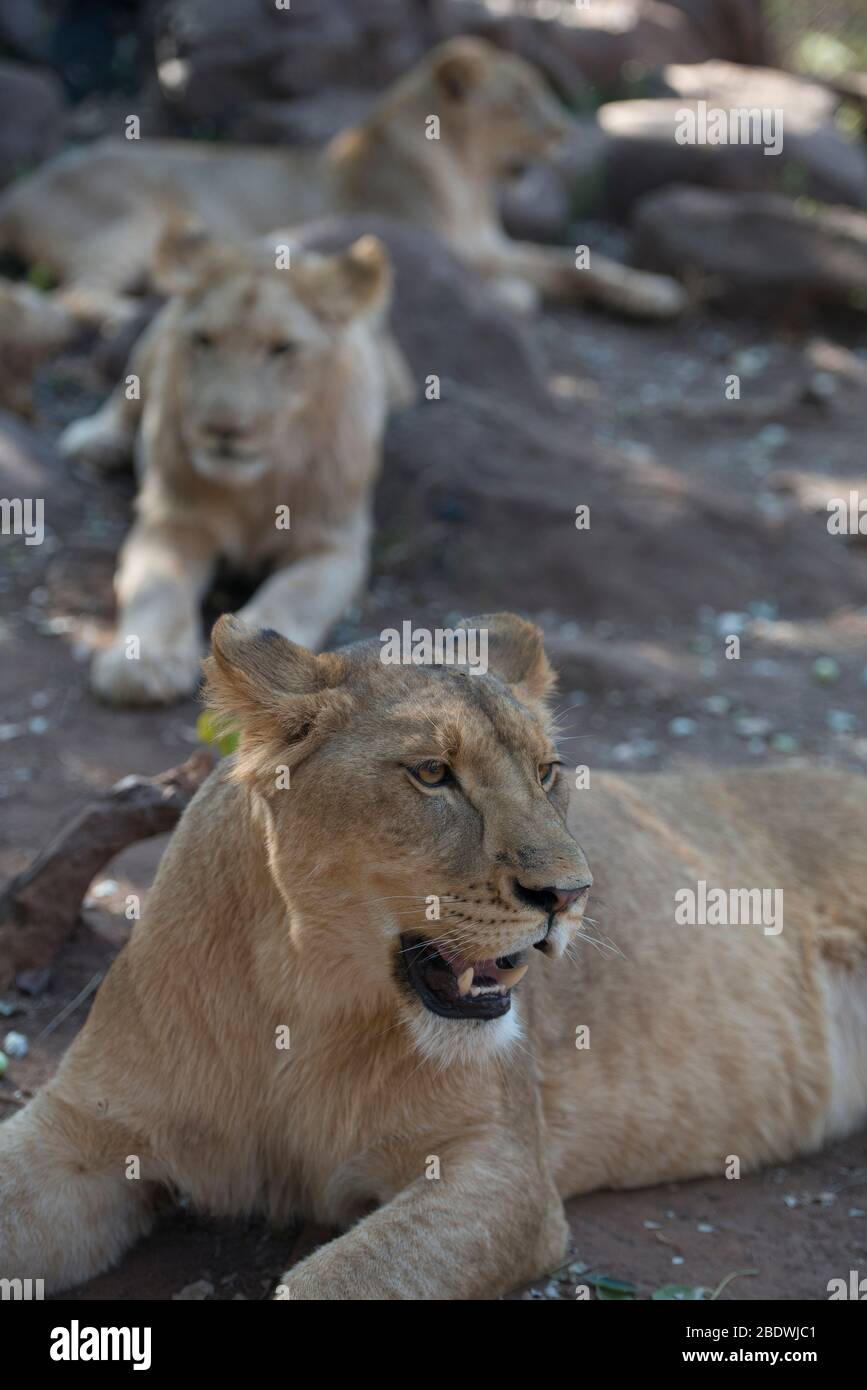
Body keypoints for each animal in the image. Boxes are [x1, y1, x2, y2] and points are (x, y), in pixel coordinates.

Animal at [0, 37, 686, 322]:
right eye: (521, 98)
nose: (565, 132)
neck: (470, 182)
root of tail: (15, 193)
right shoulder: (445, 246)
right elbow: (531, 278)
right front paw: (513, 296)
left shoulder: (491, 244)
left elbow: (579, 264)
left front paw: (653, 293)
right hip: (132, 216)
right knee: (75, 297)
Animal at [1, 614, 867, 1295]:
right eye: (431, 774)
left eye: (547, 771)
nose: (570, 894)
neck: (304, 999)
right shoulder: (84, 1128)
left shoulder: (504, 1172)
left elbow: (339, 1281)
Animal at [64, 230, 408, 706]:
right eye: (204, 340)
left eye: (282, 348)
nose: (223, 429)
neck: (254, 489)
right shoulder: (173, 518)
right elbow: (160, 587)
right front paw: (145, 663)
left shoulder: (335, 546)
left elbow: (293, 595)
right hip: (153, 341)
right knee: (125, 392)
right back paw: (96, 440)